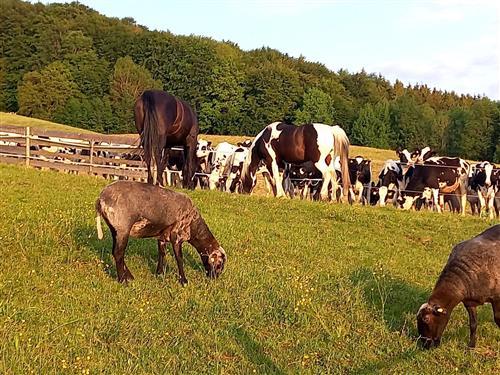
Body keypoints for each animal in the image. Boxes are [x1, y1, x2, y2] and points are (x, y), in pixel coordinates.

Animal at [94, 180, 227, 284]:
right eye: (219, 264)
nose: (215, 278)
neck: (194, 227)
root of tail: (101, 199)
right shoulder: (177, 236)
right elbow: (179, 258)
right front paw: (183, 281)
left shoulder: (162, 236)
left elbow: (162, 253)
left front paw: (159, 273)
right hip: (123, 228)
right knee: (118, 253)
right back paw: (123, 280)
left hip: (115, 229)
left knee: (115, 252)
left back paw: (129, 276)